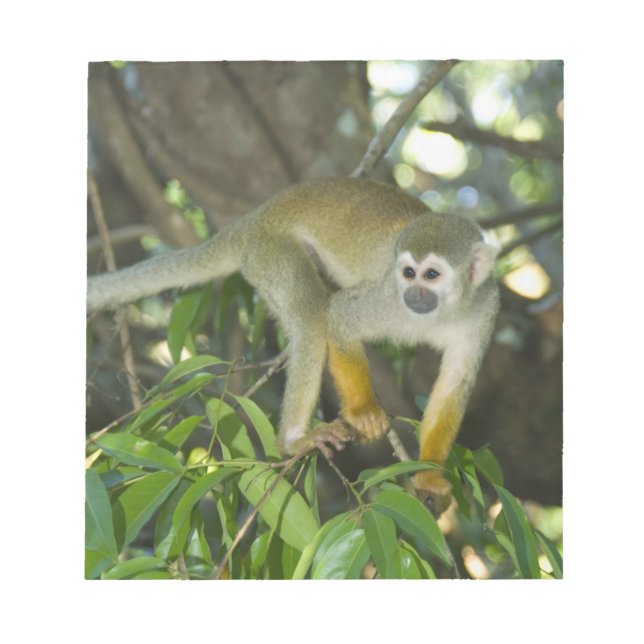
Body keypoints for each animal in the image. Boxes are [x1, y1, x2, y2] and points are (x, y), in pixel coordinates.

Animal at [88, 177, 499, 511]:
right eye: (408, 273)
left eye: (432, 275)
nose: (414, 295)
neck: (442, 310)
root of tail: (252, 220)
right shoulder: (387, 299)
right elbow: (339, 318)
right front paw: (364, 412)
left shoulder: (485, 308)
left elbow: (456, 382)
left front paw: (429, 475)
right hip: (271, 252)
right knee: (311, 315)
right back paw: (293, 442)